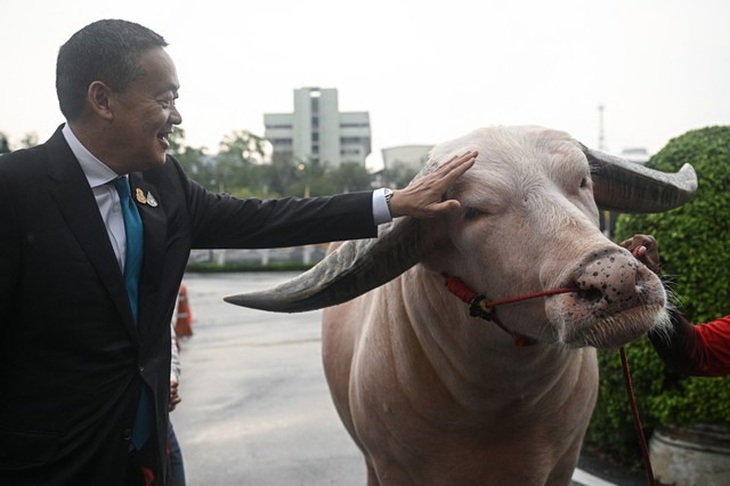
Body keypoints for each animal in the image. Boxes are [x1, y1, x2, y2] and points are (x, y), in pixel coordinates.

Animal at [226, 126, 692, 486]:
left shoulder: (564, 460)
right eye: (472, 211)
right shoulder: (393, 466)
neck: (496, 404)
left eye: (582, 181)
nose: (617, 279)